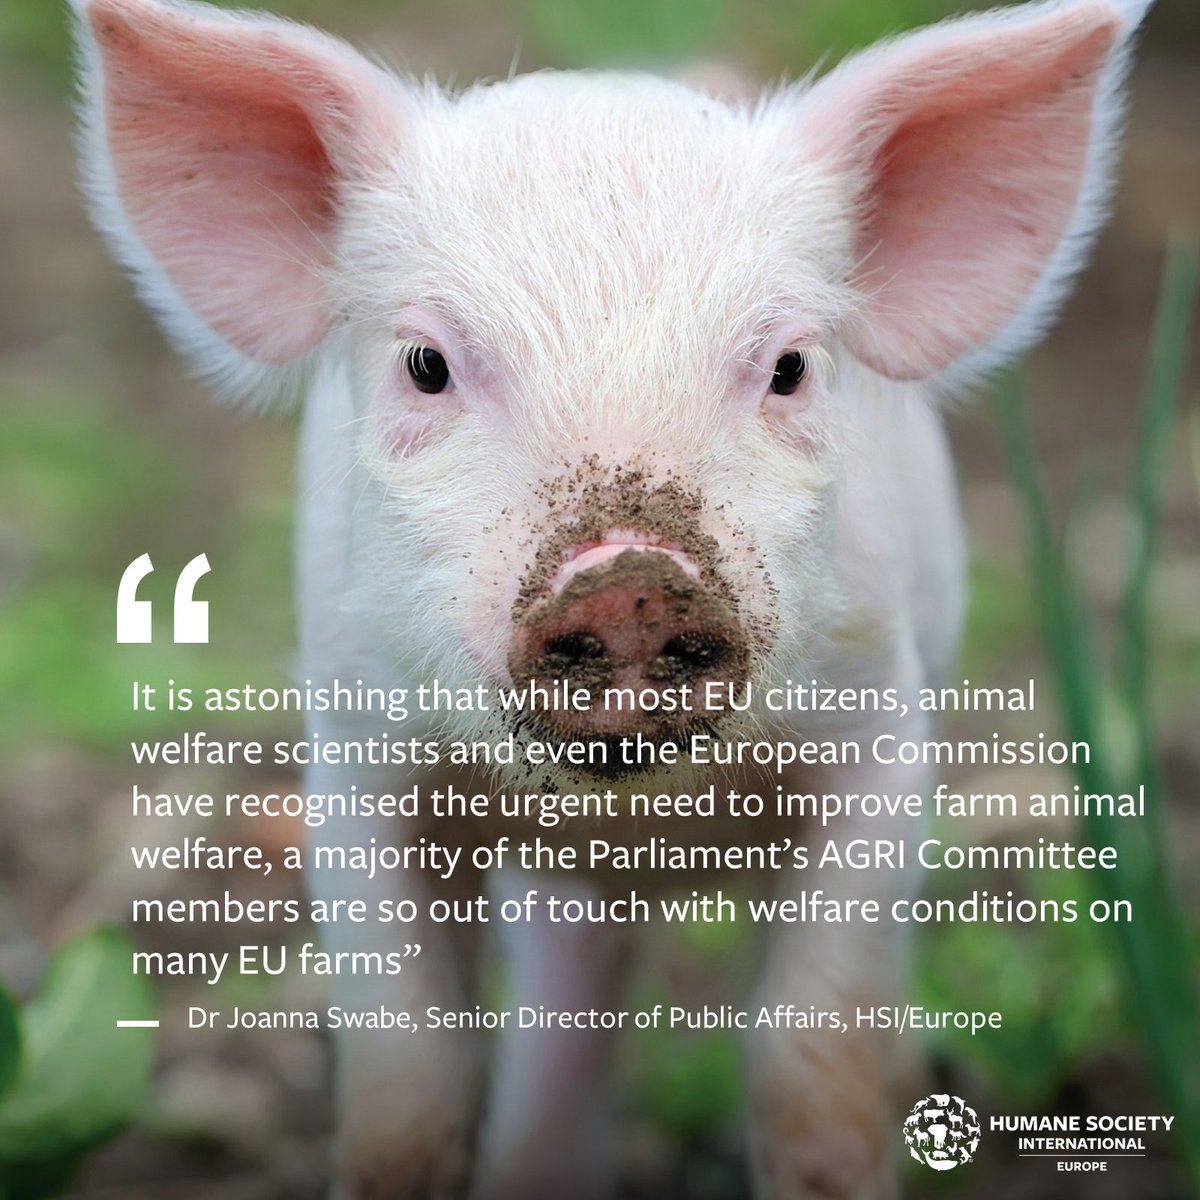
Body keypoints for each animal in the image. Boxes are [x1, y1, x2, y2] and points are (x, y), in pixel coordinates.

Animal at [72, 0, 1152, 1196]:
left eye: (788, 367)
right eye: (424, 363)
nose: (631, 578)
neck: (632, 814)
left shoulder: (884, 719)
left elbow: (814, 1067)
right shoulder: (359, 743)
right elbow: (410, 1085)